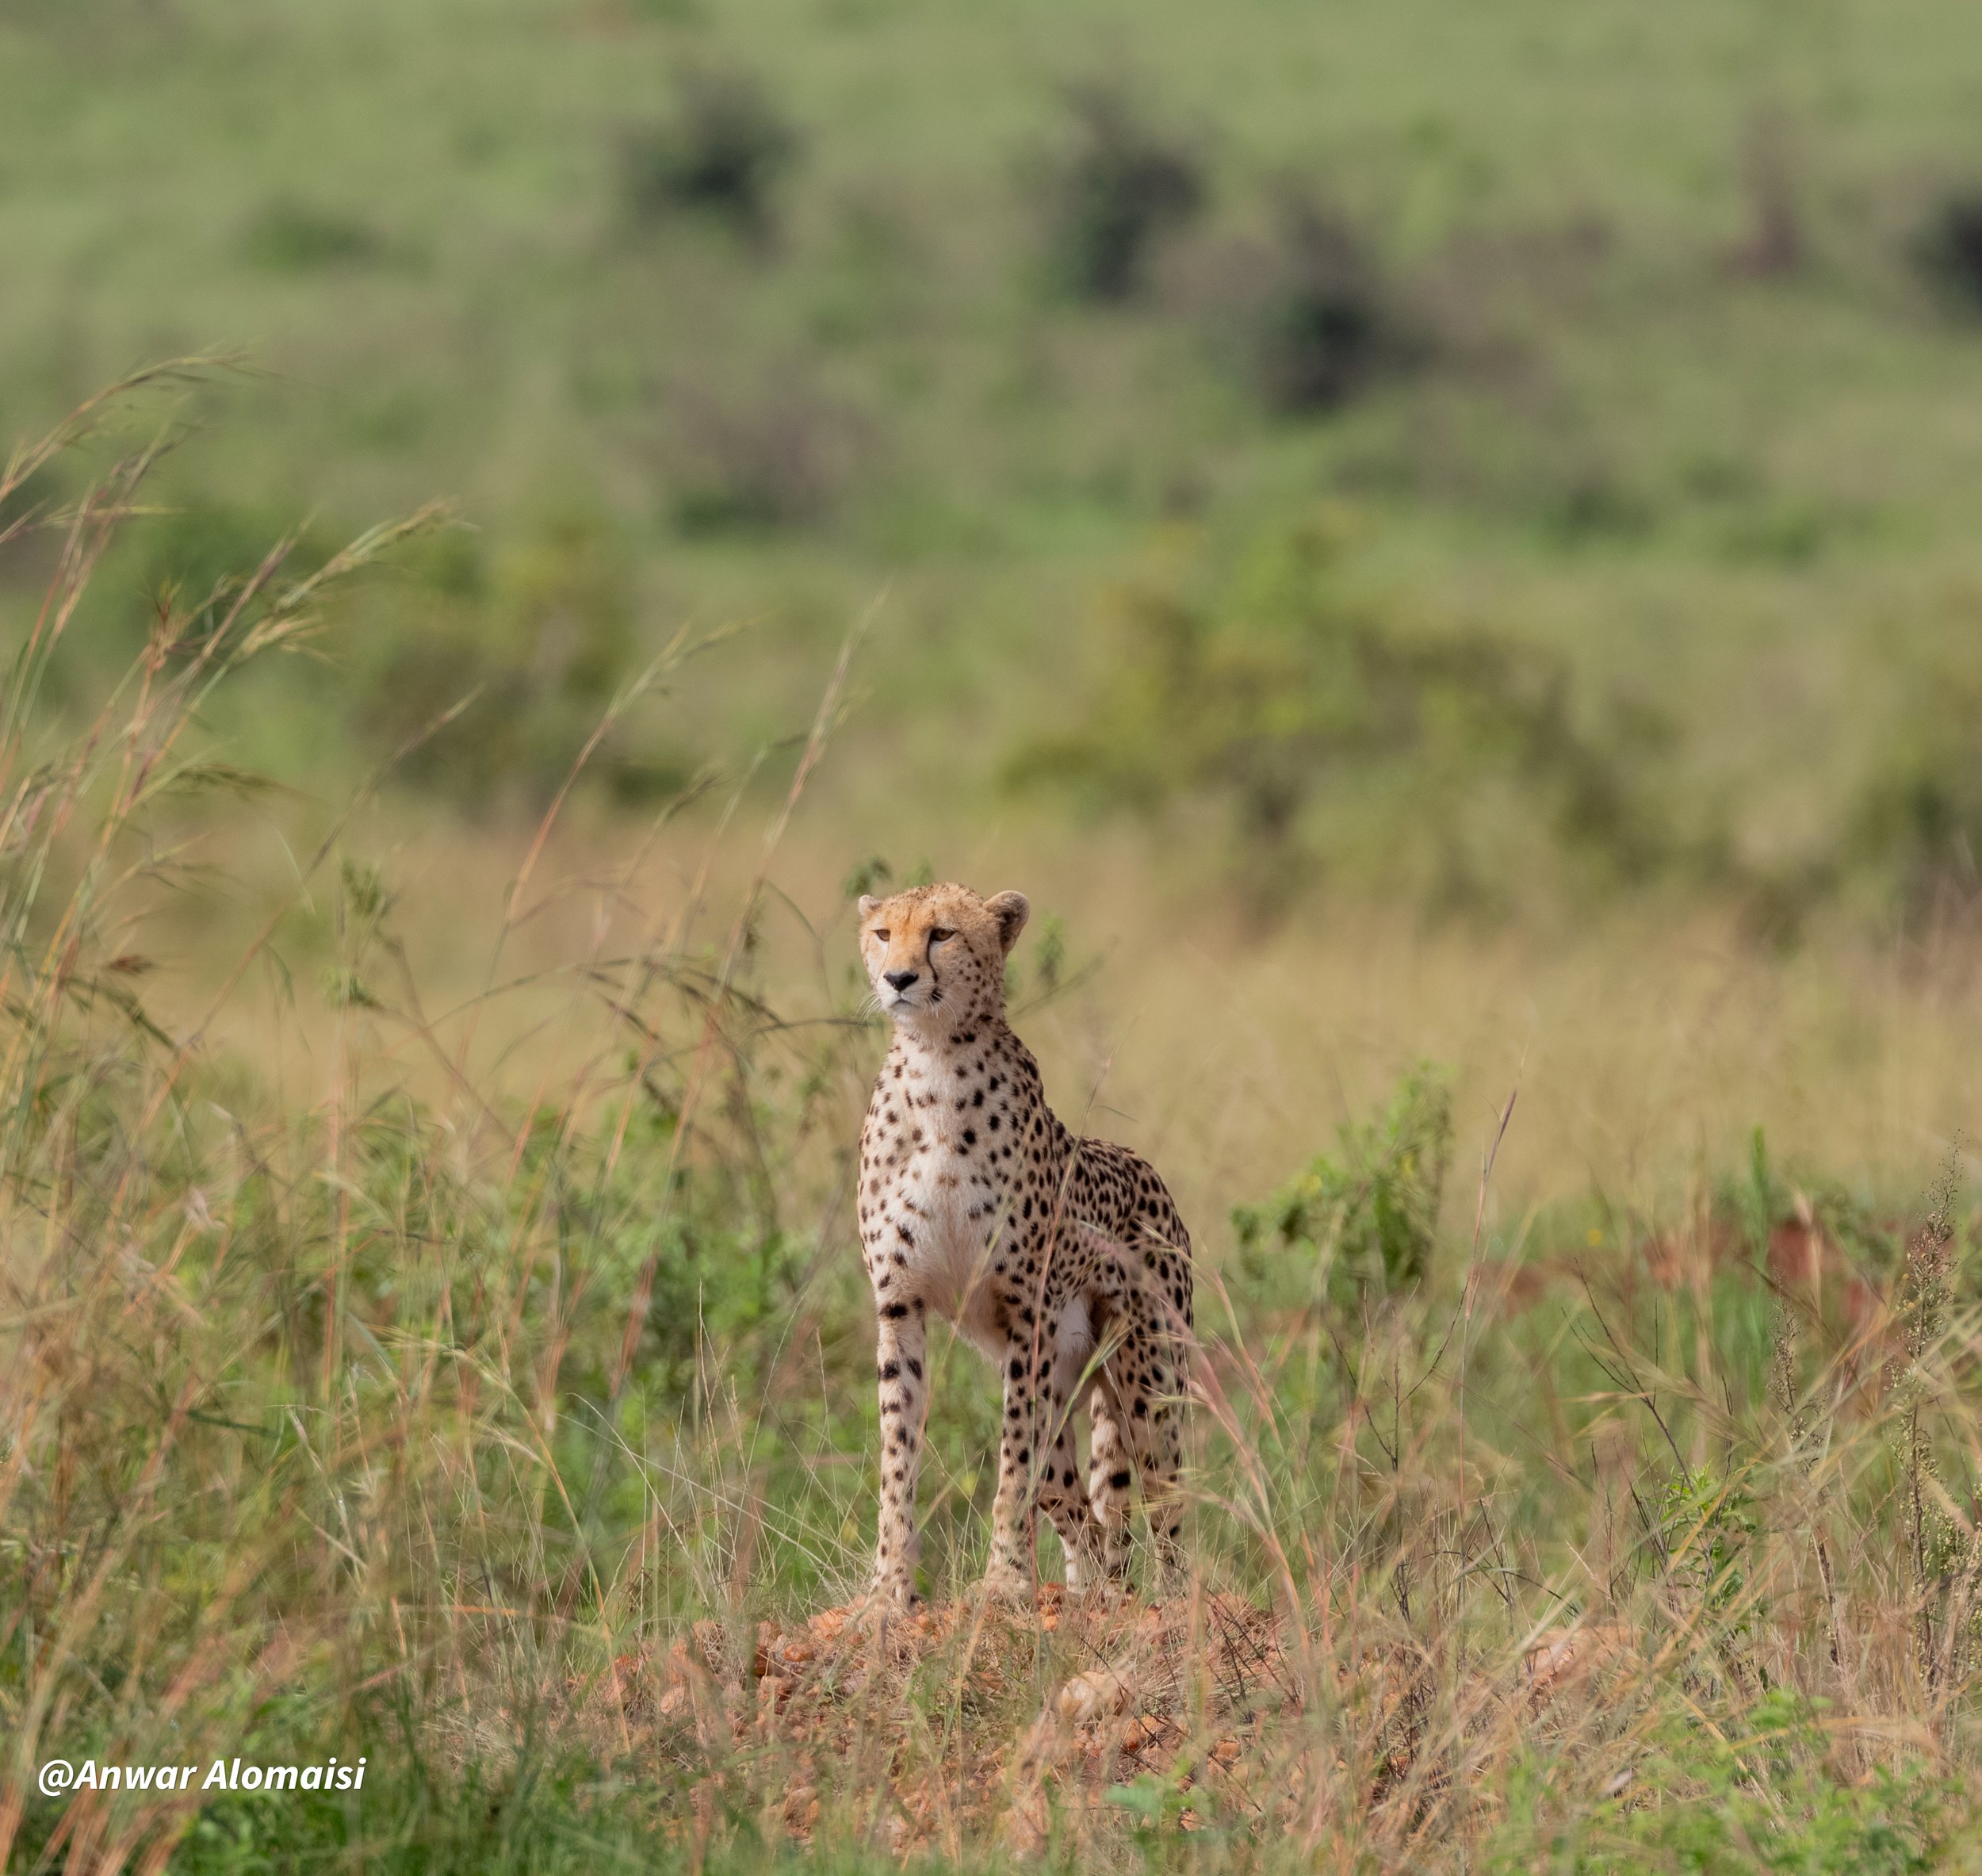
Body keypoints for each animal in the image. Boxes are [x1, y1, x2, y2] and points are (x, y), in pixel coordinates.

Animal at [853, 880, 1194, 1608]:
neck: (936, 1060)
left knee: (1163, 1500)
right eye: (884, 934)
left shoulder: (1027, 1309)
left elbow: (1012, 1464)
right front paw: (887, 1588)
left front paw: (1005, 1580)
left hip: (1147, 1376)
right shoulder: (901, 1304)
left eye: (943, 934)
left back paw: (1173, 1607)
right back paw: (1092, 1592)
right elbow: (899, 1453)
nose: (899, 979)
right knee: (1081, 1504)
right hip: (1066, 1380)